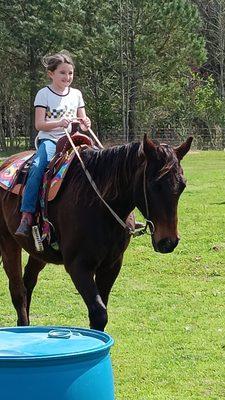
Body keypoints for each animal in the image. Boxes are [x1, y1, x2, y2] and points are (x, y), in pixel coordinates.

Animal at [0, 136, 192, 330]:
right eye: (155, 184)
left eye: (182, 185)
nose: (168, 241)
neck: (99, 205)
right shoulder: (78, 266)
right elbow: (99, 313)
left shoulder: (111, 265)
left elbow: (101, 309)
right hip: (8, 243)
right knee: (18, 291)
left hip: (39, 252)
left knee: (28, 283)